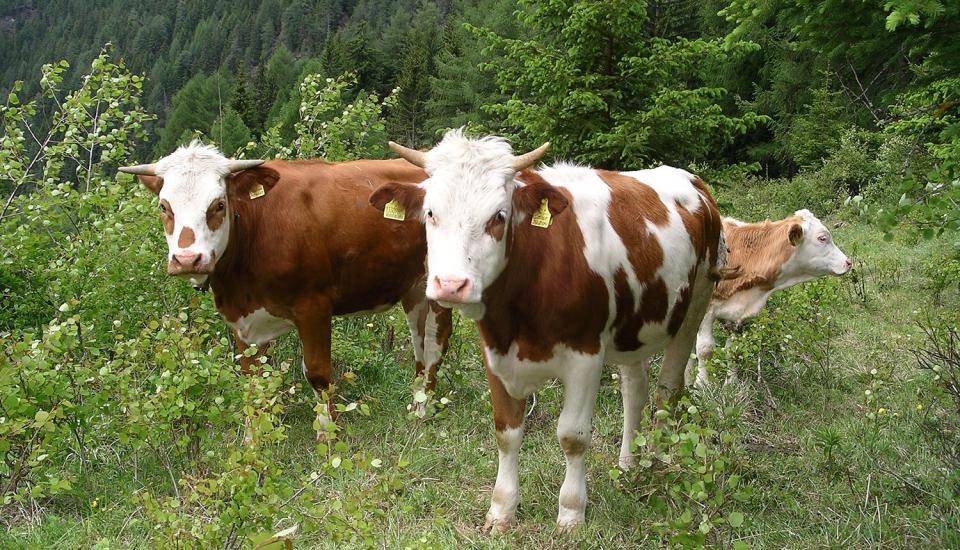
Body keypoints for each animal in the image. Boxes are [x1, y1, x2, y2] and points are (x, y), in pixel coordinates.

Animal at [118, 143, 452, 440]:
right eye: (164, 207)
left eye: (219, 205)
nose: (188, 259)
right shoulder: (242, 320)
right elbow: (252, 381)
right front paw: (253, 442)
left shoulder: (313, 306)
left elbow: (317, 372)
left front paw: (328, 436)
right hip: (413, 288)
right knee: (419, 344)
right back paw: (416, 403)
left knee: (434, 345)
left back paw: (423, 412)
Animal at [372, 132, 732, 532]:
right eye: (431, 213)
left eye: (499, 216)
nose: (451, 284)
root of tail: (691, 181)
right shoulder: (495, 351)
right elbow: (506, 432)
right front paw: (501, 509)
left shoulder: (586, 354)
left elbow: (572, 436)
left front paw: (571, 514)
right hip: (631, 327)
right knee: (634, 390)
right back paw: (628, 464)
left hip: (696, 301)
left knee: (667, 390)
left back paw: (655, 463)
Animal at [688, 210, 852, 388]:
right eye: (822, 238)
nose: (848, 262)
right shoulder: (705, 312)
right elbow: (705, 350)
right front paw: (702, 385)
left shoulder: (736, 316)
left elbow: (733, 351)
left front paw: (731, 384)